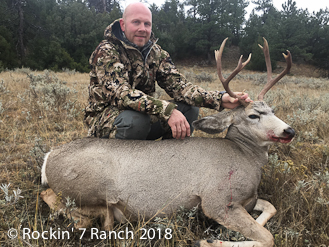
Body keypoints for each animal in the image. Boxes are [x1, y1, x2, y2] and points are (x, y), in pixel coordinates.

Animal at [39, 38, 294, 247]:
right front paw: (206, 240)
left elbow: (270, 207)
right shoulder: (217, 200)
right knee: (54, 200)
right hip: (89, 187)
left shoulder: (247, 200)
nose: (289, 130)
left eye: (273, 110)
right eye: (253, 115)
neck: (244, 156)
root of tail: (49, 156)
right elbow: (268, 238)